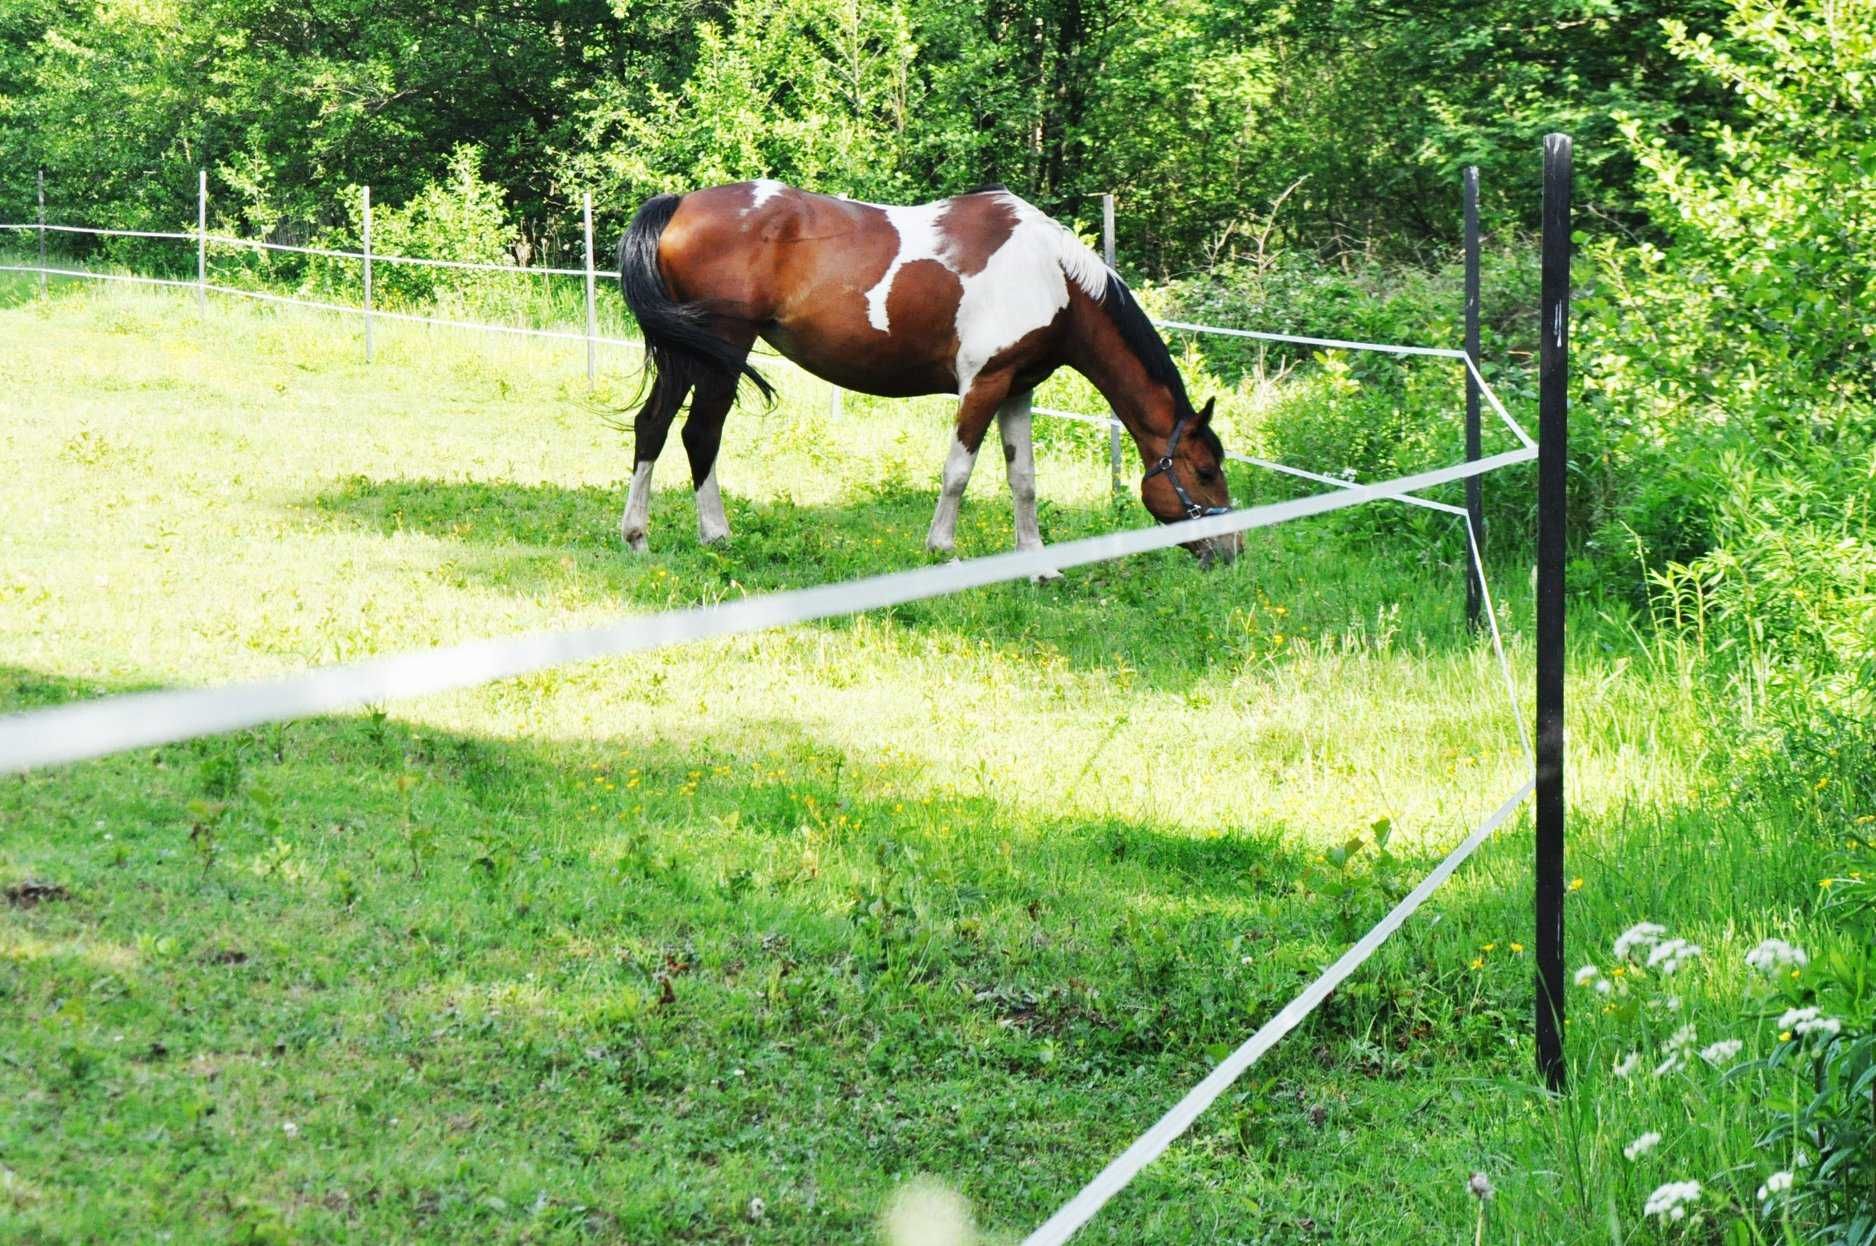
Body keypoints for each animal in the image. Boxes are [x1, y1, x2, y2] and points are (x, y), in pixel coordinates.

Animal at [607, 176, 1238, 562]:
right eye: (1206, 472)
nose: (1231, 549)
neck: (1052, 277)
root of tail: (679, 204)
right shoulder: (983, 384)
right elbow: (958, 471)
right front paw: (941, 550)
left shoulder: (1017, 389)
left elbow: (1023, 479)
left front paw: (1036, 562)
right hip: (720, 352)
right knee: (699, 434)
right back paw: (716, 536)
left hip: (689, 354)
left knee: (653, 427)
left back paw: (638, 537)